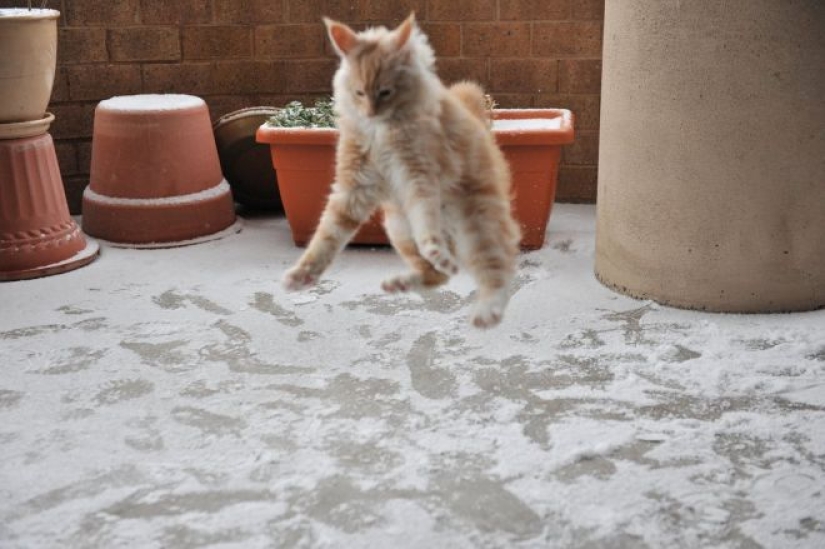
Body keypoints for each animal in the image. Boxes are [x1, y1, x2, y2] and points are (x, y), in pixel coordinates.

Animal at [280, 12, 520, 328]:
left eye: (385, 92)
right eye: (359, 92)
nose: (370, 112)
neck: (380, 132)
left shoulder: (418, 177)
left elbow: (426, 224)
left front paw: (435, 249)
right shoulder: (353, 188)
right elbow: (327, 237)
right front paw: (301, 275)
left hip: (478, 226)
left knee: (499, 271)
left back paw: (486, 312)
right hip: (399, 229)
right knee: (439, 276)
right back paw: (401, 283)